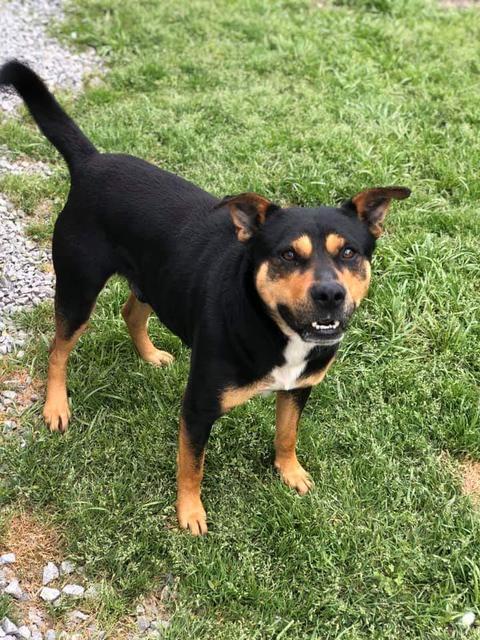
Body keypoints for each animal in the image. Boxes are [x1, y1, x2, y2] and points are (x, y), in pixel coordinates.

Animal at [0, 61, 412, 536]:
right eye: (287, 255)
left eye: (349, 252)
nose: (330, 293)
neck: (271, 323)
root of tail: (92, 162)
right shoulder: (198, 408)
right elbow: (191, 466)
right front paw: (190, 513)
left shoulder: (299, 388)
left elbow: (287, 433)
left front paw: (289, 472)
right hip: (78, 286)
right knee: (59, 349)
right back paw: (56, 406)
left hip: (155, 279)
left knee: (130, 310)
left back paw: (150, 355)